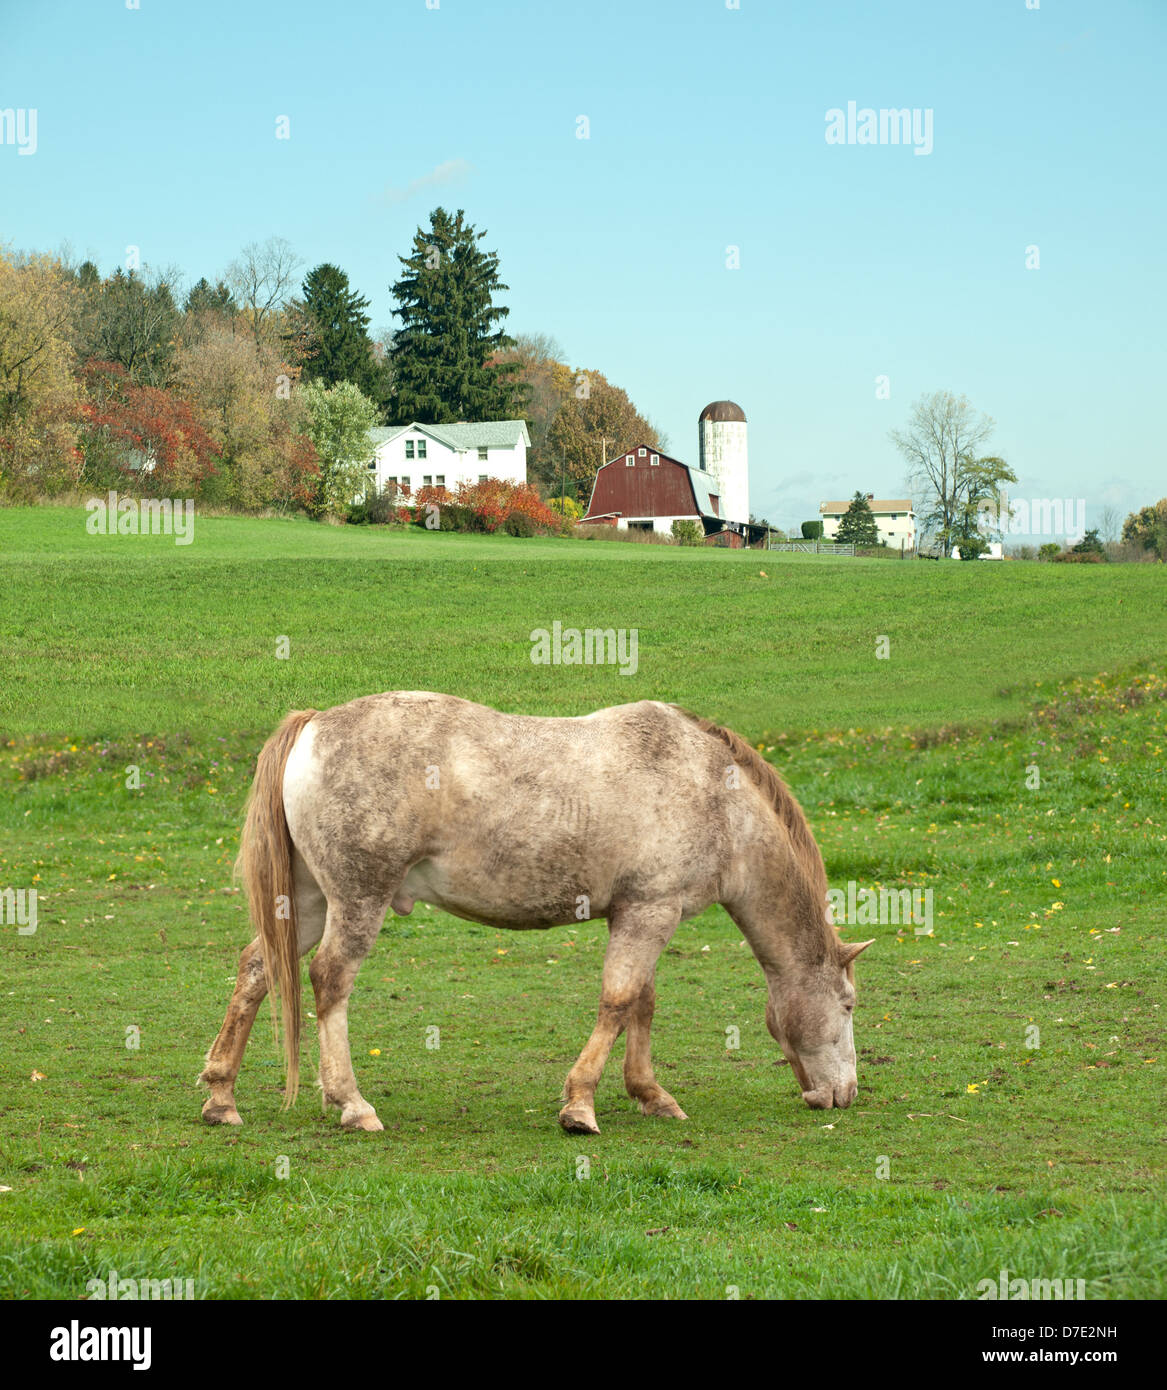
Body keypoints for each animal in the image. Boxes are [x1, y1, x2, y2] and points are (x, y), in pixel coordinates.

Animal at [198, 692, 873, 1134]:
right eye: (846, 1005)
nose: (845, 1095)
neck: (715, 795)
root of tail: (315, 723)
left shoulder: (643, 914)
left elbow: (642, 1003)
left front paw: (650, 1094)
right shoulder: (651, 913)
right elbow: (618, 1003)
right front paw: (580, 1106)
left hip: (307, 902)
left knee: (256, 969)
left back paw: (221, 1097)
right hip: (357, 900)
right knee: (329, 980)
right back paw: (352, 1103)